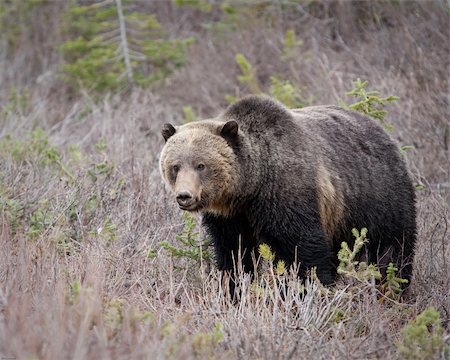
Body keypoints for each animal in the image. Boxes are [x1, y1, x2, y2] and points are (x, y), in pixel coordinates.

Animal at [160, 95, 416, 296]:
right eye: (175, 166)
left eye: (201, 165)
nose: (184, 196)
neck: (251, 187)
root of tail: (383, 132)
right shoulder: (230, 217)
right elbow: (234, 254)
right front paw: (232, 290)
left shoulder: (287, 195)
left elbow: (300, 251)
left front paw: (303, 291)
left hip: (379, 198)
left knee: (391, 249)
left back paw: (394, 286)